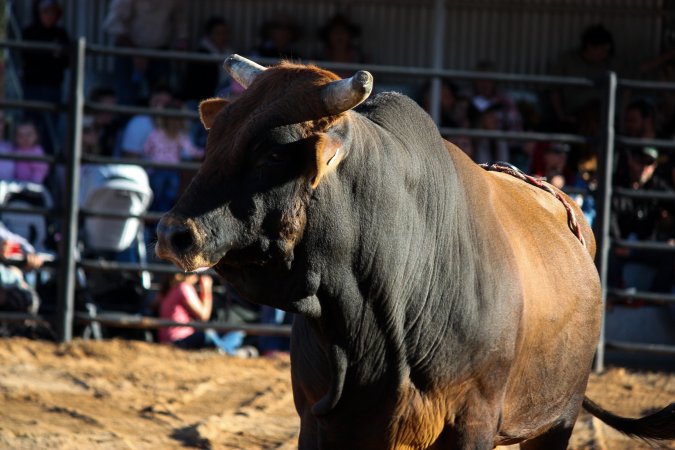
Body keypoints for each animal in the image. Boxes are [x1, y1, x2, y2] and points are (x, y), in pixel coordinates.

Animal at [156, 55, 675, 449]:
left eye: (273, 153)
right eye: (213, 140)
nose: (173, 233)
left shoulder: (472, 423)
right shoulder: (322, 421)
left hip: (557, 420)